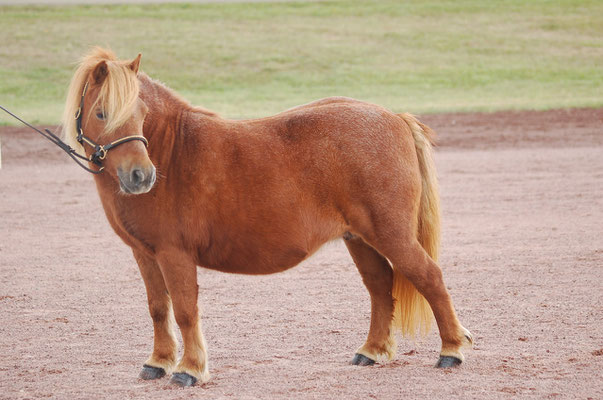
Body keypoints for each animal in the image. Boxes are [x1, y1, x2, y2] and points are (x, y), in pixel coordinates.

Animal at [61, 47, 474, 388]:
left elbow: (185, 310)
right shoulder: (145, 253)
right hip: (360, 238)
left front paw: (189, 369)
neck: (173, 150)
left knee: (430, 277)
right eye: (102, 113)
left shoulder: (174, 254)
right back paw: (371, 351)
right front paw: (158, 363)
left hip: (391, 234)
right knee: (379, 286)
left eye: (142, 114)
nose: (141, 176)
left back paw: (452, 351)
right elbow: (158, 308)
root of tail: (395, 119)